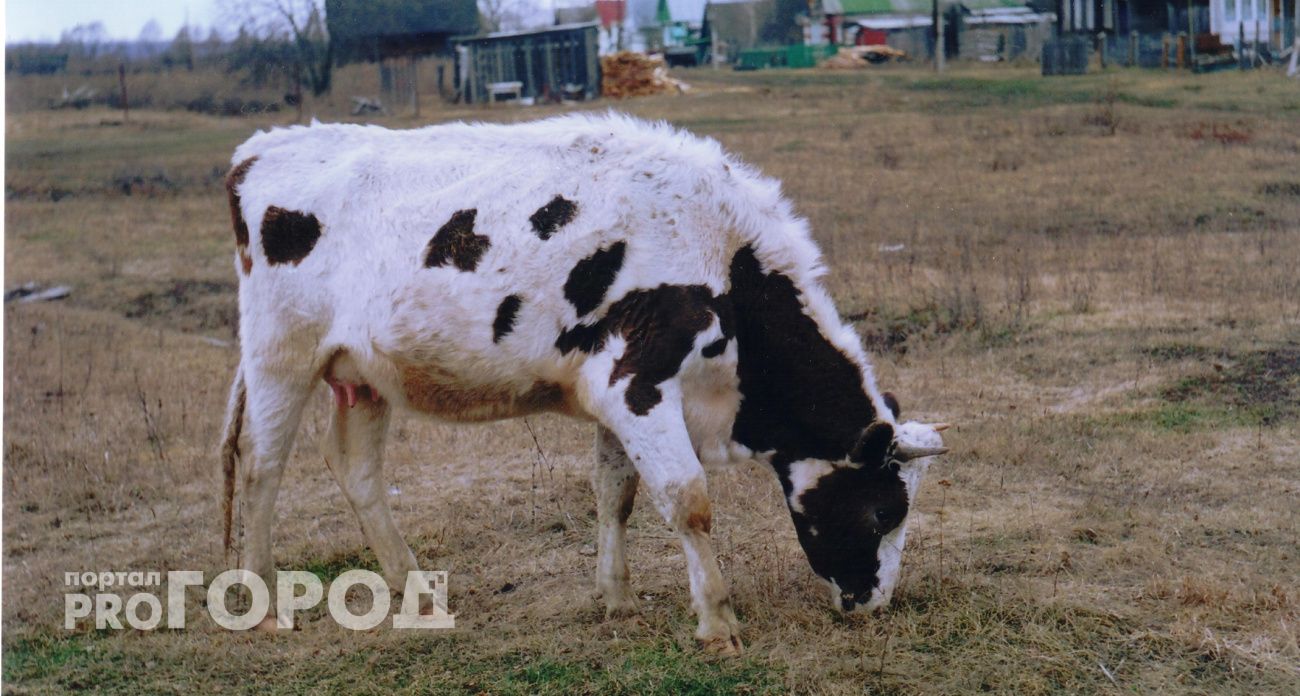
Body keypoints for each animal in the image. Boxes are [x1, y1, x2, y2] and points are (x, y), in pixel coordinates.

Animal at [215, 113, 946, 653]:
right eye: (884, 512)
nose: (874, 603)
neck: (720, 258)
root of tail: (259, 150)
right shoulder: (639, 385)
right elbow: (688, 501)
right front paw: (717, 620)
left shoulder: (617, 399)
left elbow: (615, 495)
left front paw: (617, 598)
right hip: (280, 356)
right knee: (261, 466)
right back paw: (263, 601)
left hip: (362, 377)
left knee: (357, 470)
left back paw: (414, 590)